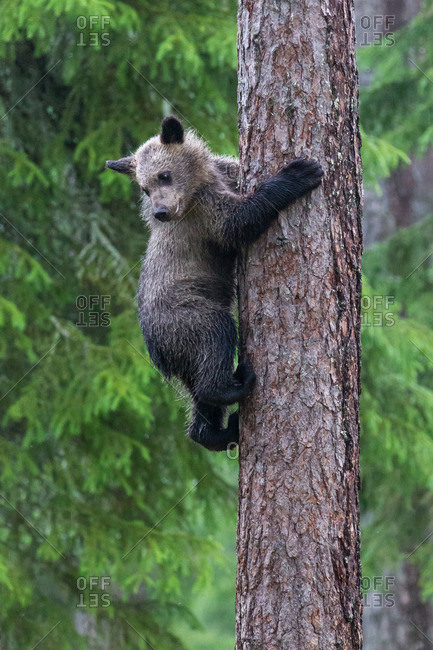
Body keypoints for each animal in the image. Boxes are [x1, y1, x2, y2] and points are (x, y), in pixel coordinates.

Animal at [106, 116, 323, 451]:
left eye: (163, 175)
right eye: (144, 187)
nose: (161, 211)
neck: (200, 183)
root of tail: (158, 351)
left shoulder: (217, 181)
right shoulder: (204, 217)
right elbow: (240, 220)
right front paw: (300, 172)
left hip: (183, 354)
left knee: (198, 394)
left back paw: (216, 431)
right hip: (186, 315)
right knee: (215, 340)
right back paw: (237, 384)